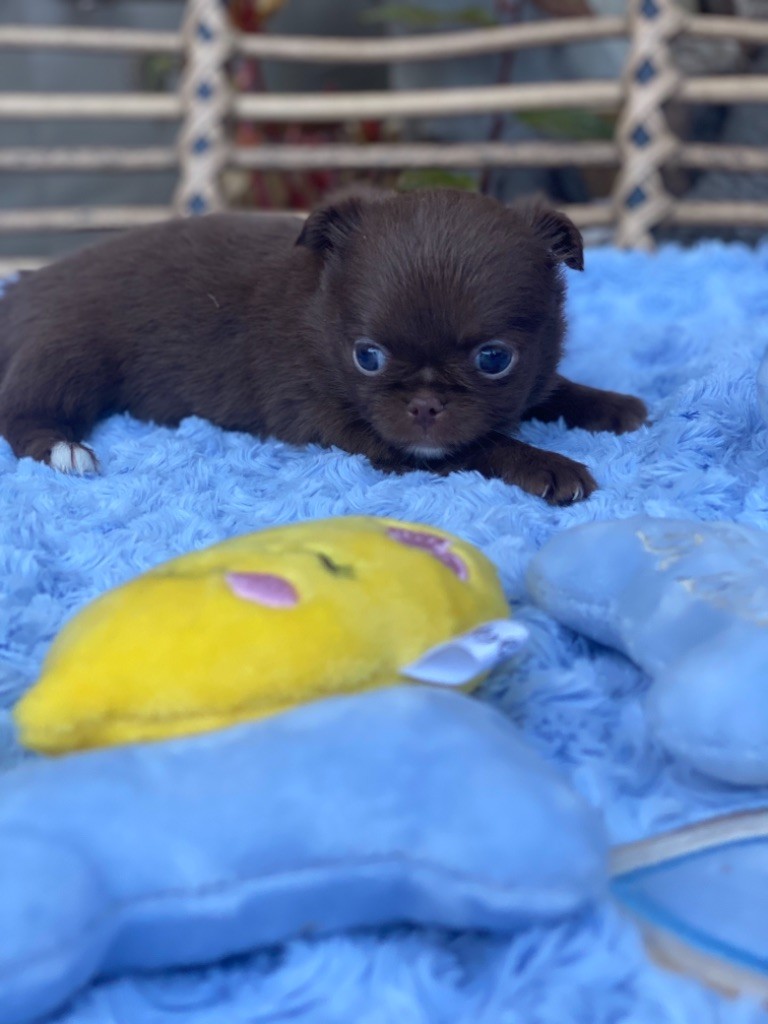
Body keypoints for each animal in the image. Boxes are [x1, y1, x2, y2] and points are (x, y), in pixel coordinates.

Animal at [0, 187, 646, 503]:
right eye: (368, 357)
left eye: (494, 359)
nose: (425, 404)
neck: (320, 312)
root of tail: (23, 290)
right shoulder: (360, 434)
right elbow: (480, 447)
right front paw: (546, 464)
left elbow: (548, 389)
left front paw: (610, 405)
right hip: (68, 355)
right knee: (24, 410)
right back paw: (65, 449)